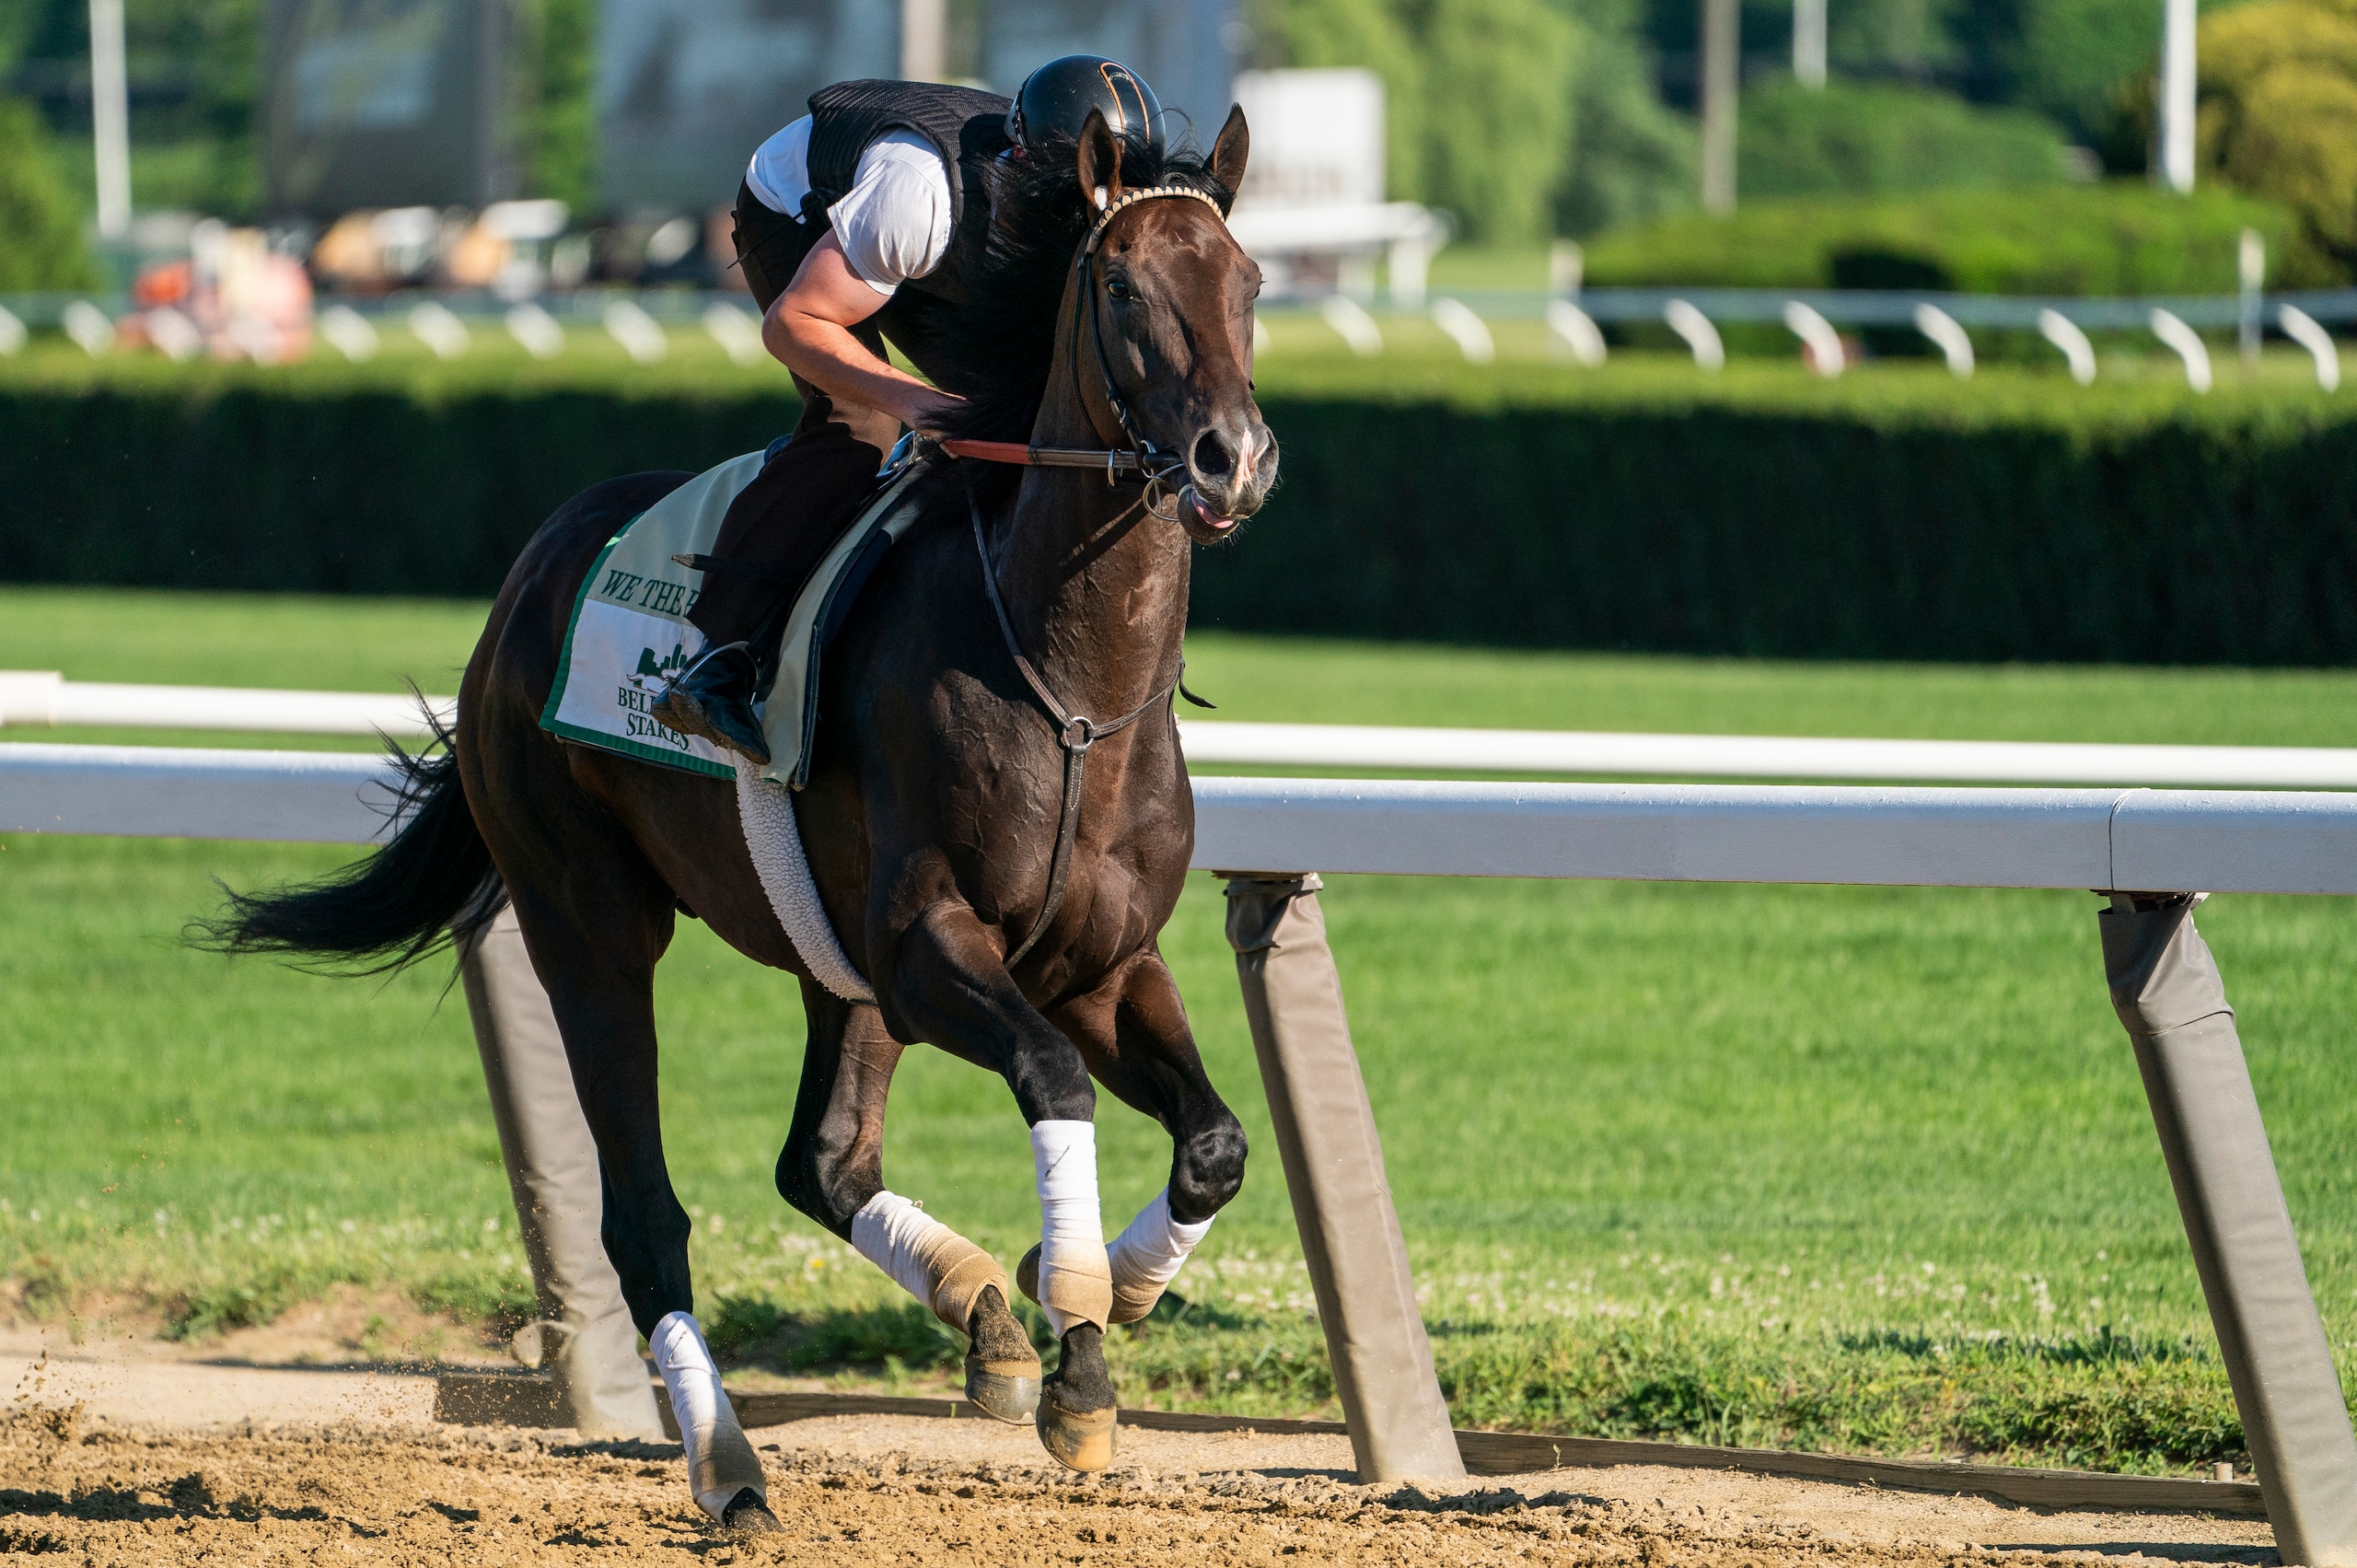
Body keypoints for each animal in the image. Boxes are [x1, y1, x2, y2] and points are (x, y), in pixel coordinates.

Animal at [213, 107, 1275, 1532]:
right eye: (1119, 286)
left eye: (1249, 283)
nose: (1230, 458)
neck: (1074, 692)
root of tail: (528, 572)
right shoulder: (929, 944)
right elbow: (1052, 1075)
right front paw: (1079, 1339)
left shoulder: (1101, 961)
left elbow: (1214, 1141)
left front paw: (1101, 1293)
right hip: (589, 923)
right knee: (644, 1216)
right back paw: (728, 1466)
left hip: (834, 966)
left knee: (818, 1161)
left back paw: (976, 1306)